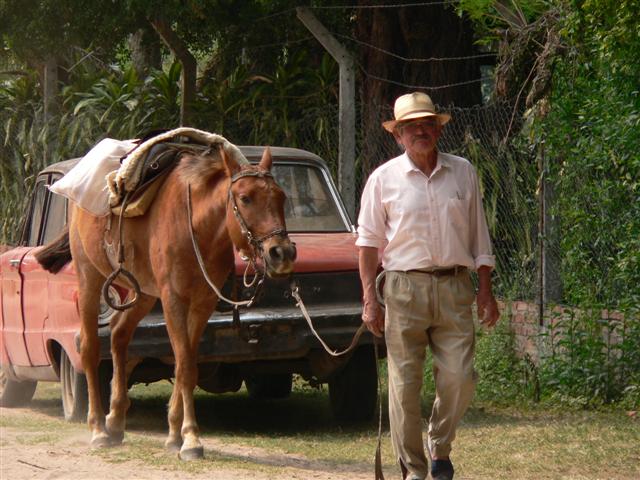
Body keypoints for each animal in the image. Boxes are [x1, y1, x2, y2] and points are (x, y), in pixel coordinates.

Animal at [36, 142, 296, 460]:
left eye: (281, 197)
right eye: (245, 198)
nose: (281, 253)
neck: (196, 226)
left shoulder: (202, 304)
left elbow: (187, 364)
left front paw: (175, 433)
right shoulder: (174, 300)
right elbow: (184, 365)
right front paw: (191, 438)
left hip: (145, 294)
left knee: (119, 335)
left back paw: (116, 420)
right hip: (90, 278)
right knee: (89, 347)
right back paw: (98, 428)